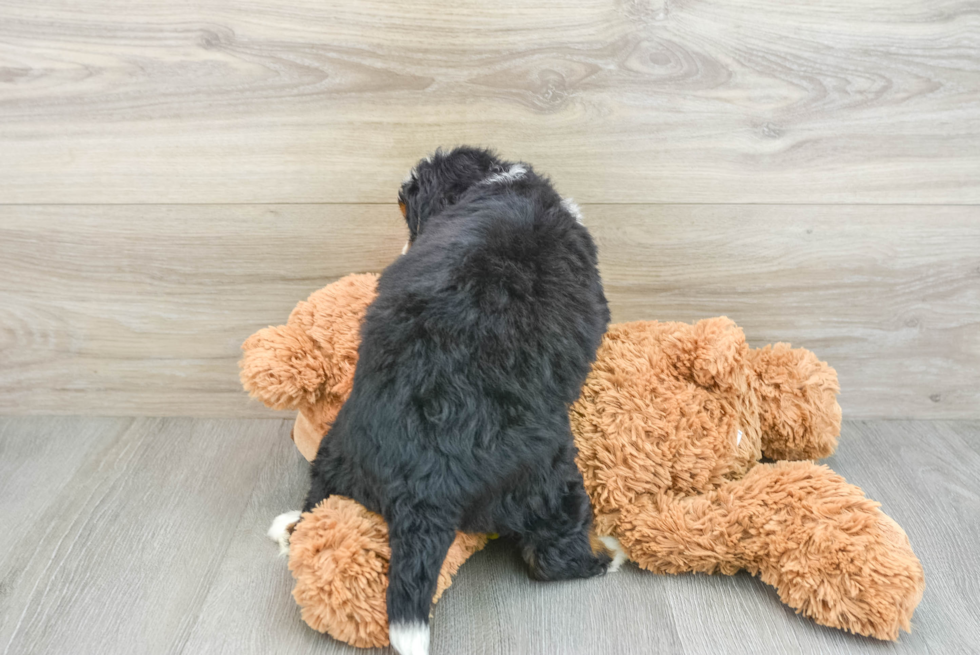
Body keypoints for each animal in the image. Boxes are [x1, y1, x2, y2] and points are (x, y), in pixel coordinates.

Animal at [272, 149, 616, 655]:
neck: (492, 184)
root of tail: (421, 486)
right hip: (548, 481)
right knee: (551, 556)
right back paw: (607, 556)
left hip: (336, 450)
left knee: (318, 499)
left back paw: (288, 524)